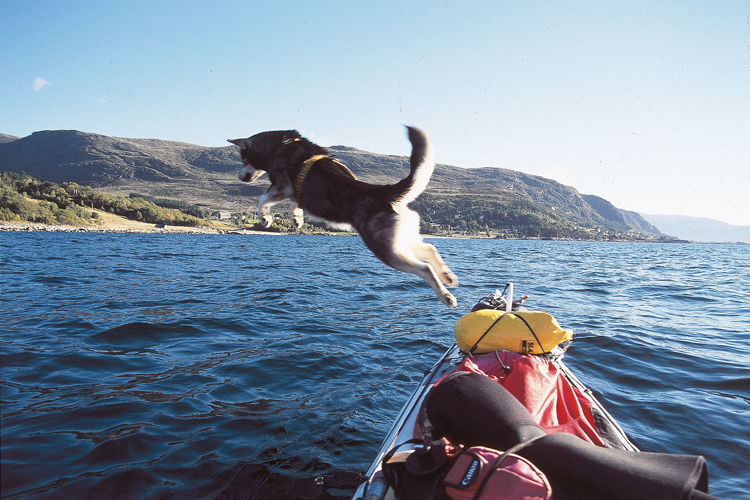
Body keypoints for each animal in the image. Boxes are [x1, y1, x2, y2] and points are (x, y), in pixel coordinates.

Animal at [229, 125, 458, 306]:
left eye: (243, 160)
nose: (240, 177)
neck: (280, 145)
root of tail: (382, 192)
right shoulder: (294, 193)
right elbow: (295, 205)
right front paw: (297, 218)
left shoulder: (282, 186)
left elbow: (262, 199)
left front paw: (266, 218)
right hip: (398, 240)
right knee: (430, 248)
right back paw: (447, 276)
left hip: (385, 250)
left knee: (426, 268)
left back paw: (445, 296)